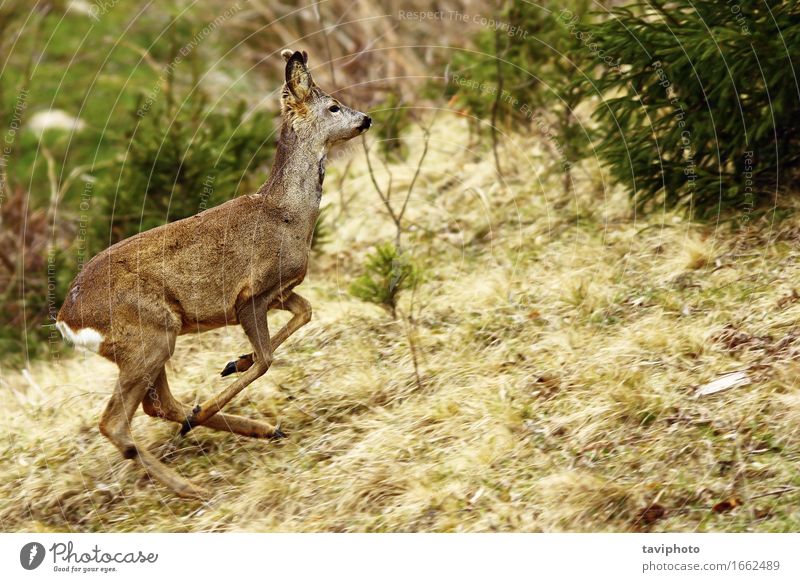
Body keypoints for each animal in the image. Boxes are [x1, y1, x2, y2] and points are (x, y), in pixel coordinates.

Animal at [54, 50, 374, 500]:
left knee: (157, 405)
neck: (287, 215)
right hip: (149, 333)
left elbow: (305, 312)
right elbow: (267, 359)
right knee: (116, 421)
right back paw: (194, 482)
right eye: (332, 106)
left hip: (150, 340)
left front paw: (233, 363)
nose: (366, 118)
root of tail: (67, 319)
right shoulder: (250, 294)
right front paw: (233, 373)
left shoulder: (279, 291)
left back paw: (251, 429)